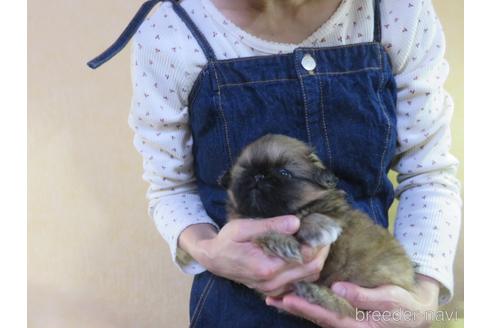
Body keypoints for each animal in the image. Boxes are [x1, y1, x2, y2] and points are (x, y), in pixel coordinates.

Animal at [219, 133, 416, 318]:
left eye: (284, 173)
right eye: (245, 171)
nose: (258, 176)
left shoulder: (337, 216)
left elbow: (310, 216)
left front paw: (319, 228)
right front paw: (281, 242)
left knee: (350, 309)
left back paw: (315, 292)